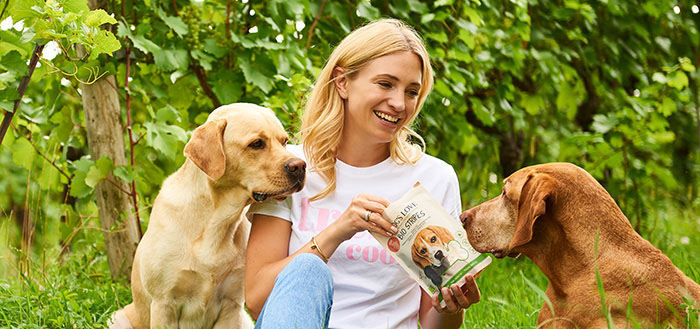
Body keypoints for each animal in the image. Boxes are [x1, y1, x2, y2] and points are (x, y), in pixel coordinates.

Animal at [109, 103, 306, 328]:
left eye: (284, 141)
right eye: (256, 144)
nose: (300, 166)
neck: (216, 221)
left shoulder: (232, 304)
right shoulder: (164, 304)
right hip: (117, 319)